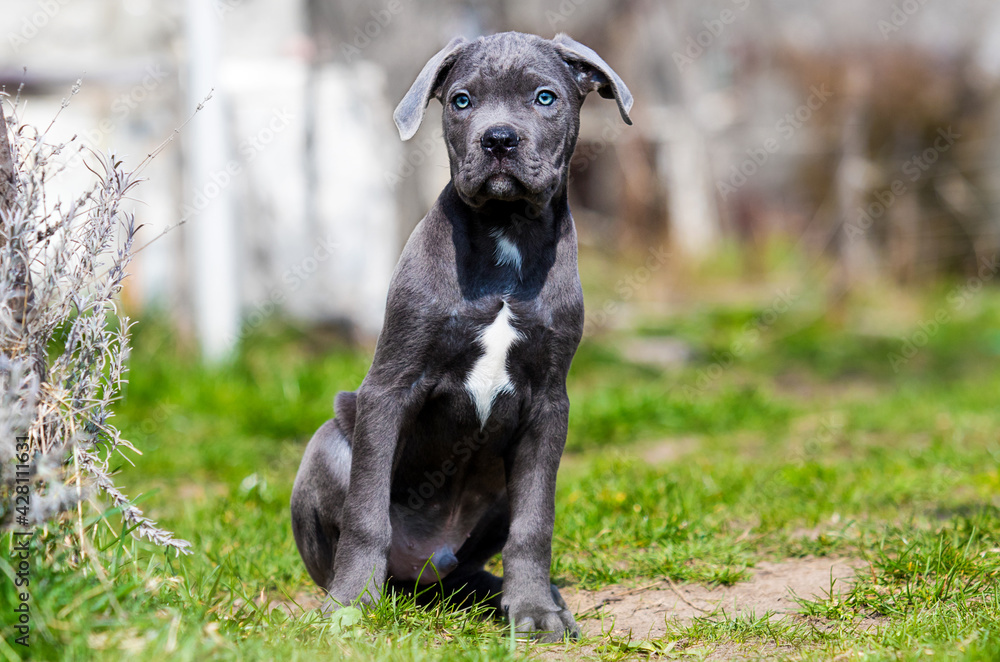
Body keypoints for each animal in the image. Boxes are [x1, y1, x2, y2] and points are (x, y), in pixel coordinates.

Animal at [292, 31, 632, 644]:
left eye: (545, 97)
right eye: (462, 101)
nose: (498, 139)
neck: (504, 234)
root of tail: (421, 572)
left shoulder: (549, 404)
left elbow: (535, 524)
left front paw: (536, 611)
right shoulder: (391, 387)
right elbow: (365, 514)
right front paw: (348, 607)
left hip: (496, 495)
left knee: (474, 567)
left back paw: (518, 595)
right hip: (327, 447)